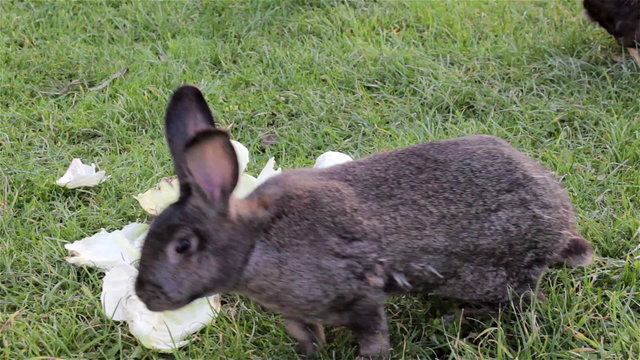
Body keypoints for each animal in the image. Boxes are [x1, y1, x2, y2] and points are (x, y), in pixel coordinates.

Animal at [136, 86, 596, 358]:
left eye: (183, 246)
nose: (146, 296)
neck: (256, 243)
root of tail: (560, 226)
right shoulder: (299, 311)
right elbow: (302, 332)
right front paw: (311, 352)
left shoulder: (362, 295)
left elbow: (373, 336)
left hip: (494, 271)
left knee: (521, 302)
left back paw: (460, 319)